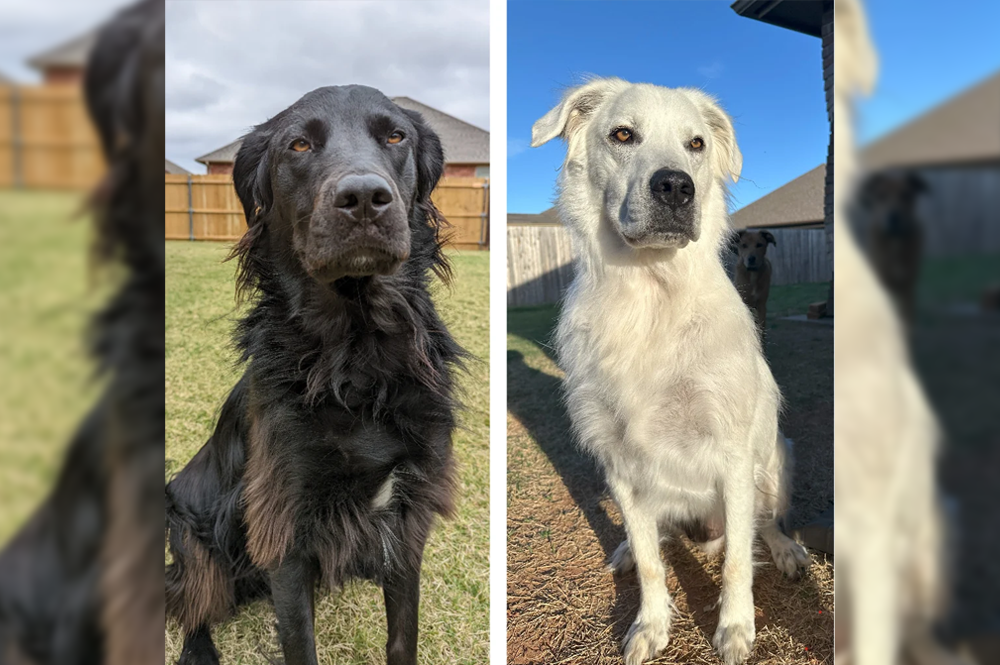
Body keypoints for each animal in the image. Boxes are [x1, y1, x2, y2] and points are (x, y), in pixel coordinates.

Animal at [166, 87, 466, 664]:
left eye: (396, 136)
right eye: (298, 145)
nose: (365, 198)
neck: (356, 356)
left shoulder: (408, 519)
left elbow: (403, 635)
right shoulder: (284, 529)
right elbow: (299, 642)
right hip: (189, 533)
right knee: (189, 601)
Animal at [536, 79, 808, 664]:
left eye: (696, 144)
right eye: (622, 134)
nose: (676, 188)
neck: (652, 295)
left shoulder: (733, 456)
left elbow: (736, 561)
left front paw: (735, 629)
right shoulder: (620, 464)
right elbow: (653, 562)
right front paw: (651, 626)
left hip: (778, 459)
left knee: (764, 522)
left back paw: (786, 549)